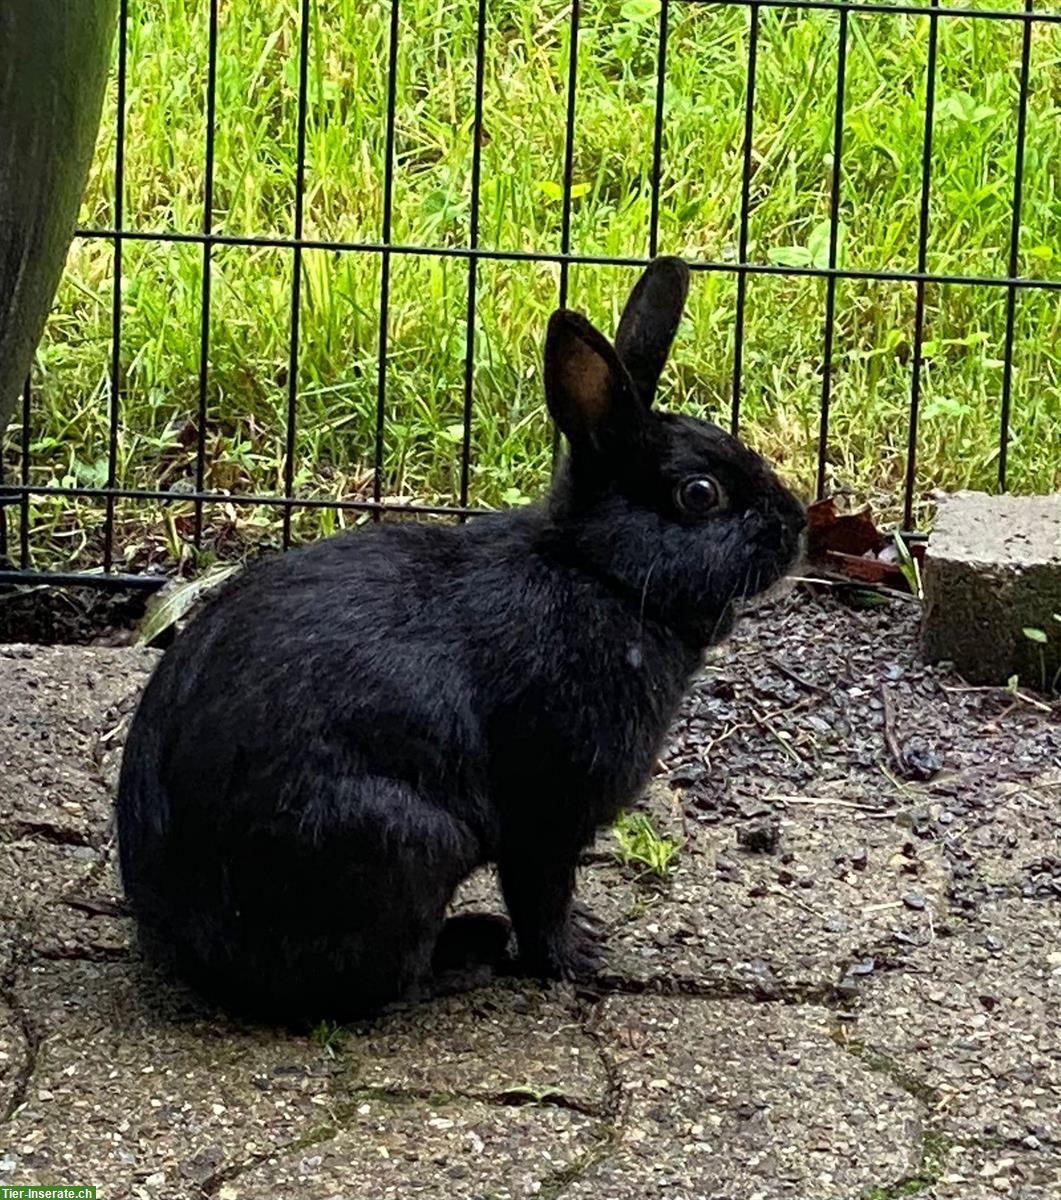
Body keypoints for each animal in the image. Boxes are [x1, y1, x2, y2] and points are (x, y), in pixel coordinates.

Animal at [118, 255, 801, 1022]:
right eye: (699, 495)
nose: (799, 525)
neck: (598, 571)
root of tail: (186, 945)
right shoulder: (546, 815)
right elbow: (540, 894)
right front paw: (575, 956)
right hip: (407, 844)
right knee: (380, 982)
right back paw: (466, 954)